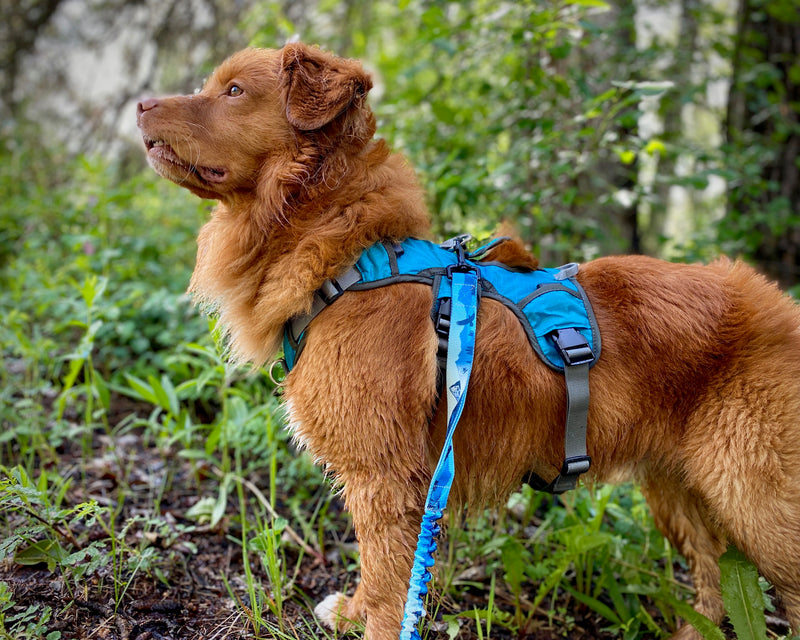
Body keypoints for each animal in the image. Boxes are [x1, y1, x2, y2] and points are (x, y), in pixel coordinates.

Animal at [139, 42, 800, 636]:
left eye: (233, 91)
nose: (140, 103)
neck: (346, 256)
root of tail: (777, 303)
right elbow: (375, 568)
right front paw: (351, 613)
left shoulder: (384, 475)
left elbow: (389, 578)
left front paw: (373, 624)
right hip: (676, 487)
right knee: (710, 576)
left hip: (757, 500)